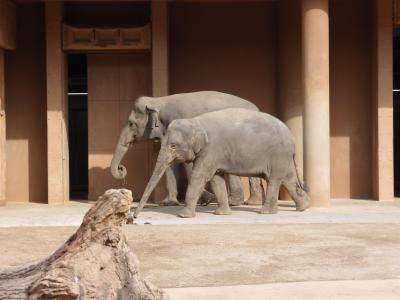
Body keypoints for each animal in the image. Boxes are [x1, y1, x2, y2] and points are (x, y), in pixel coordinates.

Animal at [111, 90, 264, 205]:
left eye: (131, 123)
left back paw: (236, 202)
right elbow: (171, 164)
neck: (158, 101)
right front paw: (169, 203)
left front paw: (205, 199)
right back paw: (249, 202)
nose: (121, 168)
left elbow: (187, 163)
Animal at [134, 108, 310, 218]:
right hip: (282, 156)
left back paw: (266, 212)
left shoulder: (211, 149)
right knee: (288, 179)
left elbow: (200, 176)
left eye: (173, 146)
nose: (133, 218)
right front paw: (221, 214)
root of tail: (292, 137)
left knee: (274, 179)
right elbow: (215, 179)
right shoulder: (213, 154)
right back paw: (303, 207)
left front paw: (183, 216)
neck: (195, 121)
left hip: (278, 154)